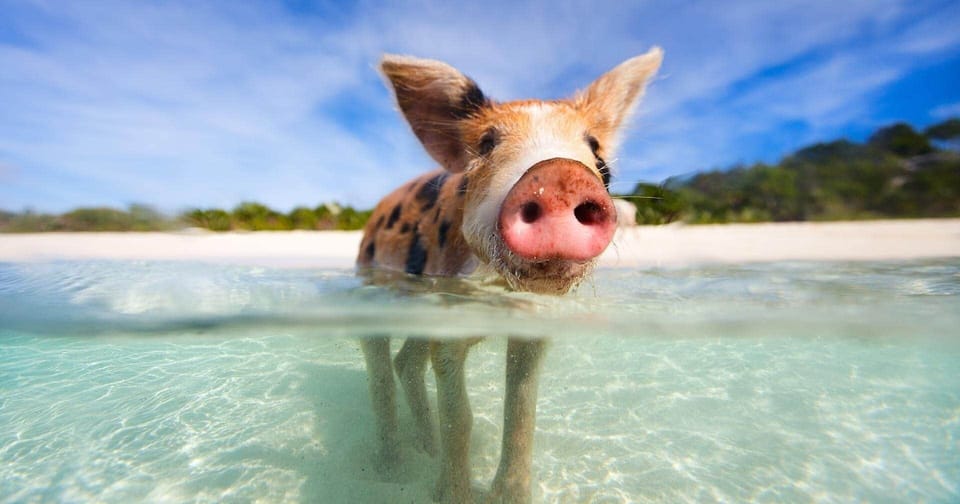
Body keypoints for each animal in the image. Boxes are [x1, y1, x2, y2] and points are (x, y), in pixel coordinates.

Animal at [357, 47, 663, 503]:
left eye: (597, 153)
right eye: (487, 144)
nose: (559, 174)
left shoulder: (532, 327)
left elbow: (520, 411)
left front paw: (508, 495)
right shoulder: (448, 319)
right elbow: (460, 418)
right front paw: (453, 495)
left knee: (406, 362)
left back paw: (426, 448)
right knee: (380, 370)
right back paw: (392, 471)